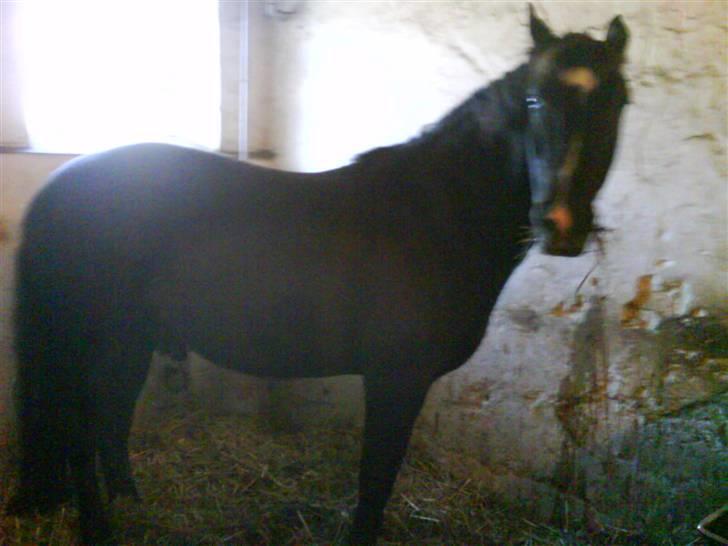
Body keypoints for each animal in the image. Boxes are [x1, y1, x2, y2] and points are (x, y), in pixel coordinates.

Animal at [6, 7, 629, 545]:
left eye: (618, 102)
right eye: (533, 100)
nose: (561, 226)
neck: (434, 215)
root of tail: (61, 185)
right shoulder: (396, 379)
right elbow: (376, 479)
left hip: (128, 340)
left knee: (111, 418)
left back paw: (131, 504)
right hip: (89, 343)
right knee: (80, 432)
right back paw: (101, 528)